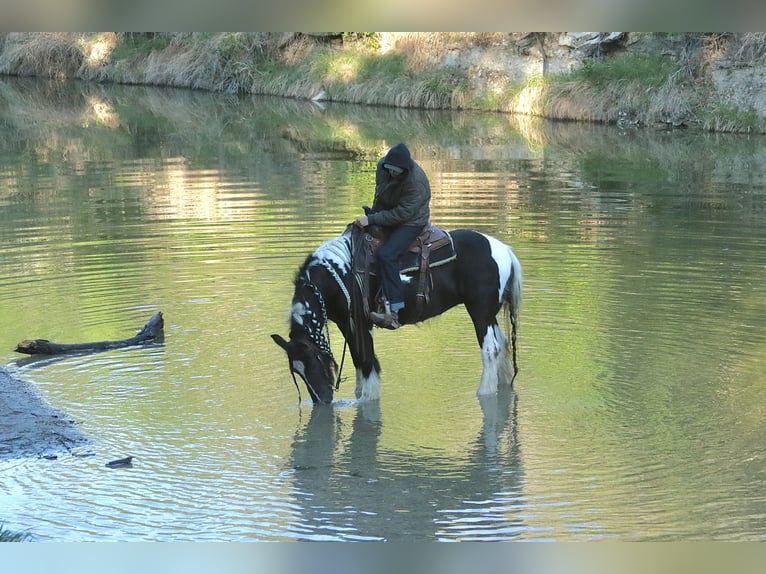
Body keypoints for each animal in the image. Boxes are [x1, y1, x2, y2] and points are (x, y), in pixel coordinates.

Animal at [272, 225, 522, 404]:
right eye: (297, 371)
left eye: (312, 364)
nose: (322, 401)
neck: (338, 274)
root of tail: (504, 250)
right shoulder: (345, 322)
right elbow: (357, 358)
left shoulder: (361, 322)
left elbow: (367, 360)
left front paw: (368, 398)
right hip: (489, 315)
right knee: (502, 345)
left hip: (479, 313)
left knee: (490, 349)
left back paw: (484, 392)